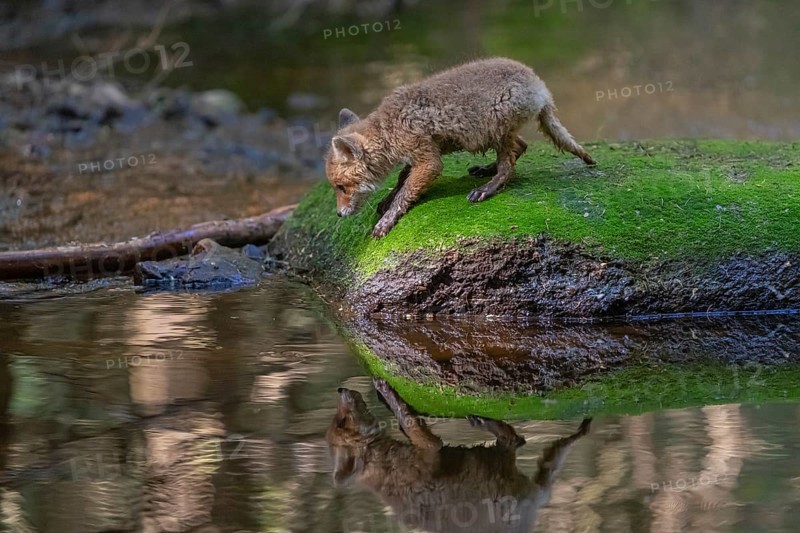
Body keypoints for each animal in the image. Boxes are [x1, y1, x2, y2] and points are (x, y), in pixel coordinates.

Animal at [325, 57, 595, 238]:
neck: (388, 128)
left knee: (509, 167)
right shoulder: (419, 155)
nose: (338, 215)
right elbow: (402, 180)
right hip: (497, 134)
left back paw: (487, 187)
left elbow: (405, 192)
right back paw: (486, 169)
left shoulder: (428, 161)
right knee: (521, 146)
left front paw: (387, 219)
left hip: (497, 126)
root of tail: (539, 86)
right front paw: (386, 202)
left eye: (341, 187)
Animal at [326, 378, 592, 533]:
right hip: (505, 479)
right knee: (515, 440)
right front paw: (386, 391)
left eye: (340, 421)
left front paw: (384, 392)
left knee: (520, 442)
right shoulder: (430, 448)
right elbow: (407, 419)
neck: (385, 465)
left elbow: (405, 420)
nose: (339, 388)